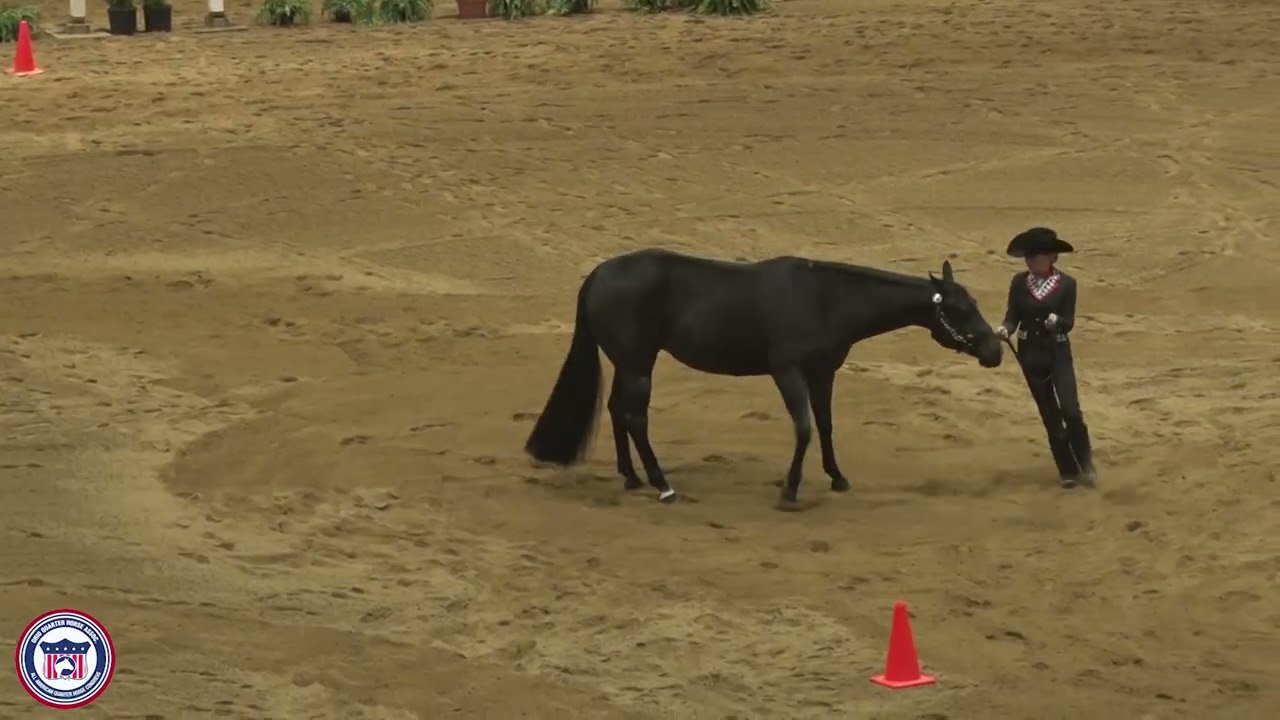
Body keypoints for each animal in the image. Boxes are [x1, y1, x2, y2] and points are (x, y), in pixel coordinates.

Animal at [522, 248, 1004, 507]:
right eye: (961, 309)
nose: (996, 350)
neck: (826, 299)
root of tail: (596, 275)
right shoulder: (786, 371)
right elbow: (804, 427)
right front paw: (789, 490)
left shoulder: (823, 373)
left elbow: (825, 425)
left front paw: (837, 477)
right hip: (640, 364)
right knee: (635, 417)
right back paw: (663, 486)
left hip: (629, 363)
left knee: (617, 411)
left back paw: (632, 477)